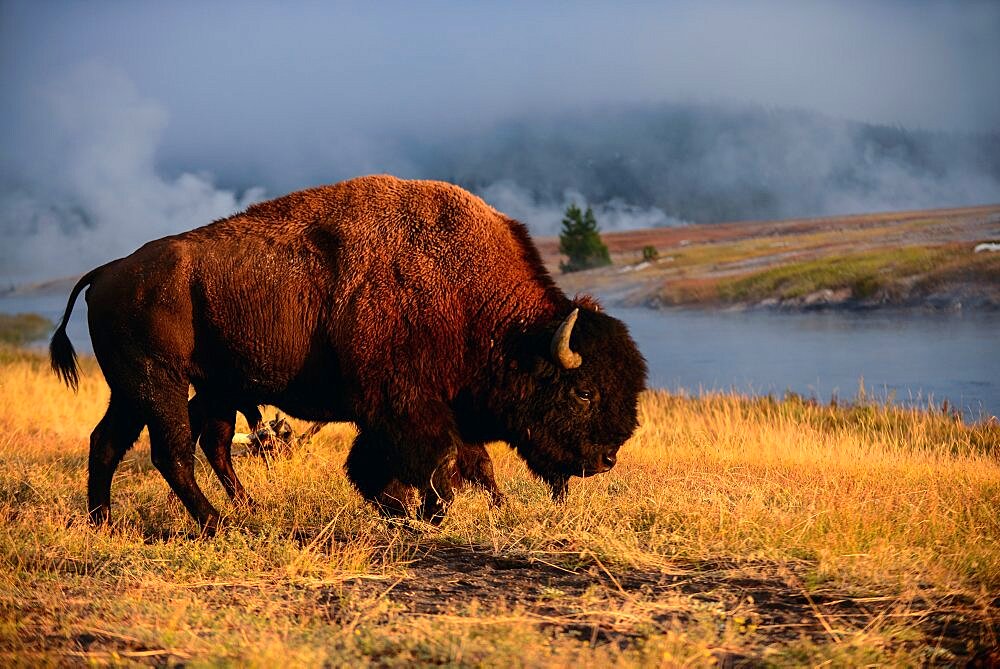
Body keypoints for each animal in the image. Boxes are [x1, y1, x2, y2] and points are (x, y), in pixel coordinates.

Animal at [52, 175, 648, 528]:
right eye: (585, 392)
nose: (606, 459)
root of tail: (108, 270)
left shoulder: (428, 408)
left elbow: (465, 462)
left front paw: (427, 511)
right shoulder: (404, 406)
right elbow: (437, 464)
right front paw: (416, 513)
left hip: (156, 389)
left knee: (121, 442)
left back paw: (115, 521)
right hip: (160, 382)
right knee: (171, 451)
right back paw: (218, 525)